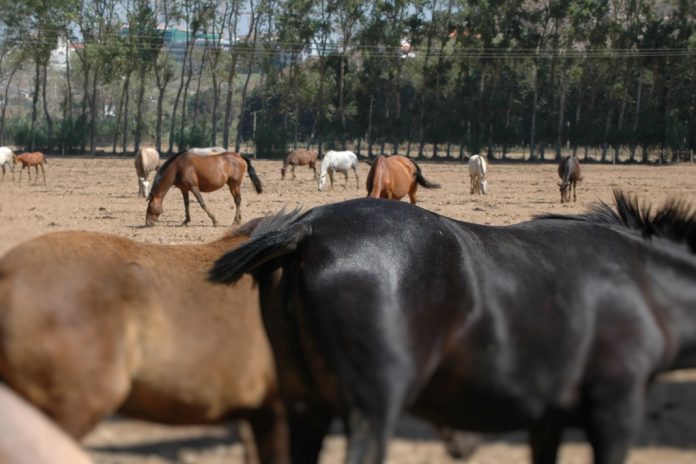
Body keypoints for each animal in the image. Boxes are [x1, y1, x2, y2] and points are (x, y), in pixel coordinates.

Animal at [209, 191, 696, 464]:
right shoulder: (615, 411)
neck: (643, 279)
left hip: (305, 406)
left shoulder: (548, 420)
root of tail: (308, 230)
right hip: (371, 409)